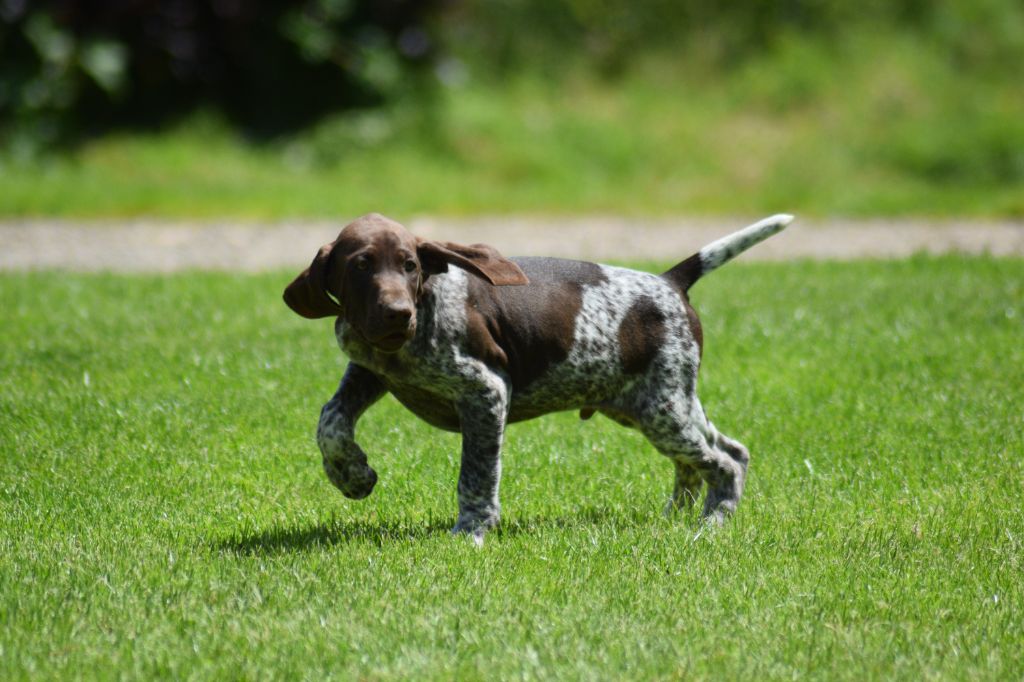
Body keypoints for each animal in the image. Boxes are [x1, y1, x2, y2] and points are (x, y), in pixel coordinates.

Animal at [284, 212, 794, 540]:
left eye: (410, 265)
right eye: (360, 266)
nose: (397, 315)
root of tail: (669, 282)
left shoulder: (486, 391)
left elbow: (476, 474)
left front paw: (471, 531)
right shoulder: (369, 371)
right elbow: (330, 421)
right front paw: (351, 475)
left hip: (662, 409)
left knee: (722, 464)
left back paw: (712, 525)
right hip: (657, 404)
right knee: (726, 452)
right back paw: (675, 517)